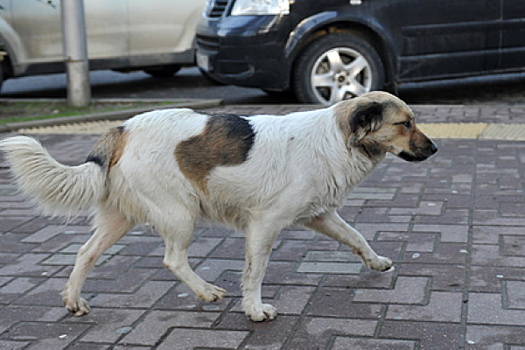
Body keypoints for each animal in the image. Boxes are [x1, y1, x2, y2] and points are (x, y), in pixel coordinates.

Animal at [0, 91, 436, 322]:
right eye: (405, 124)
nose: (434, 149)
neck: (335, 138)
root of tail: (121, 129)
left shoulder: (320, 214)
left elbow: (356, 236)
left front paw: (377, 263)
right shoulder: (264, 224)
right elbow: (254, 273)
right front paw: (255, 309)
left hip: (120, 218)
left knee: (85, 252)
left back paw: (74, 300)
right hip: (180, 213)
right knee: (173, 259)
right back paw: (206, 292)